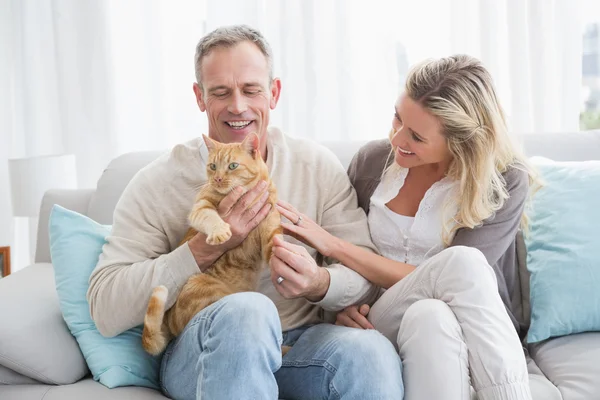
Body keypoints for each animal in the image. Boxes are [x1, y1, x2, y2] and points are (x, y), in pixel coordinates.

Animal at [142, 133, 282, 354]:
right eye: (213, 166)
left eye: (232, 166)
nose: (217, 179)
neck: (244, 194)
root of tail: (169, 323)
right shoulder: (201, 206)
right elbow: (210, 217)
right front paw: (220, 232)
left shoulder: (270, 217)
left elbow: (274, 241)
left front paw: (283, 259)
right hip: (211, 292)